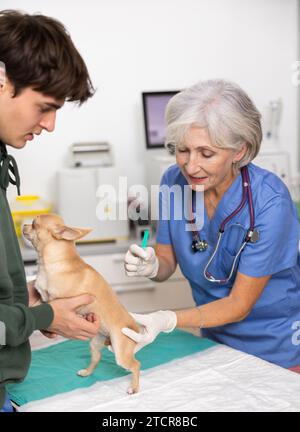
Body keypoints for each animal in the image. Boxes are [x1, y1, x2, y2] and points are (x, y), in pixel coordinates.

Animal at [22, 214, 140, 394]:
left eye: (35, 224)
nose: (23, 226)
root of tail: (135, 328)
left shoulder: (61, 300)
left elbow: (47, 305)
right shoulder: (42, 297)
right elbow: (37, 302)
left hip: (121, 351)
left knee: (136, 365)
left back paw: (133, 387)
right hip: (95, 343)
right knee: (96, 359)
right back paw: (86, 372)